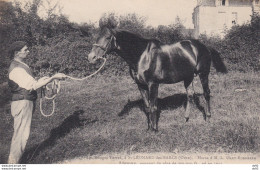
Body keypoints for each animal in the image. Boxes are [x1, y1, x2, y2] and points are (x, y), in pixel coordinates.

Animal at [88, 26, 228, 131]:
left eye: (107, 37)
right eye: (97, 37)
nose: (91, 57)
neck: (142, 55)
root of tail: (204, 46)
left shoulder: (153, 84)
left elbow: (154, 106)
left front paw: (155, 129)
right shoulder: (141, 85)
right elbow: (147, 107)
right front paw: (149, 128)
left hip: (203, 74)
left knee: (206, 94)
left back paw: (208, 118)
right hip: (188, 77)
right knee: (189, 95)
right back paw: (186, 119)